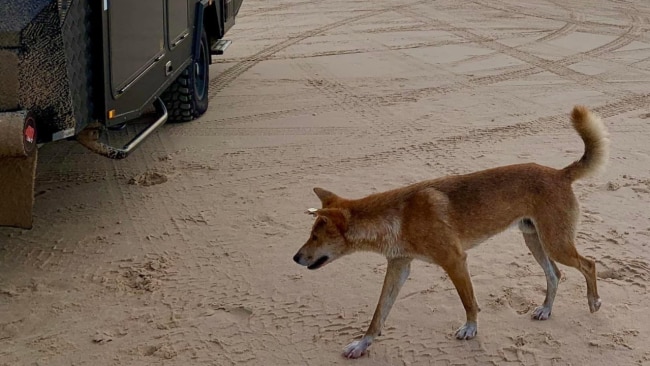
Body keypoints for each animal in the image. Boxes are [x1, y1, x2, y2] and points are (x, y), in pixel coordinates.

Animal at [294, 105, 608, 358]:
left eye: (315, 237)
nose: (295, 257)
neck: (398, 216)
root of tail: (560, 173)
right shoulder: (398, 266)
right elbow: (379, 312)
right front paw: (363, 343)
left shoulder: (454, 261)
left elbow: (469, 302)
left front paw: (470, 329)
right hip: (535, 240)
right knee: (555, 274)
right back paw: (546, 309)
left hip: (555, 243)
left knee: (589, 264)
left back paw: (593, 301)